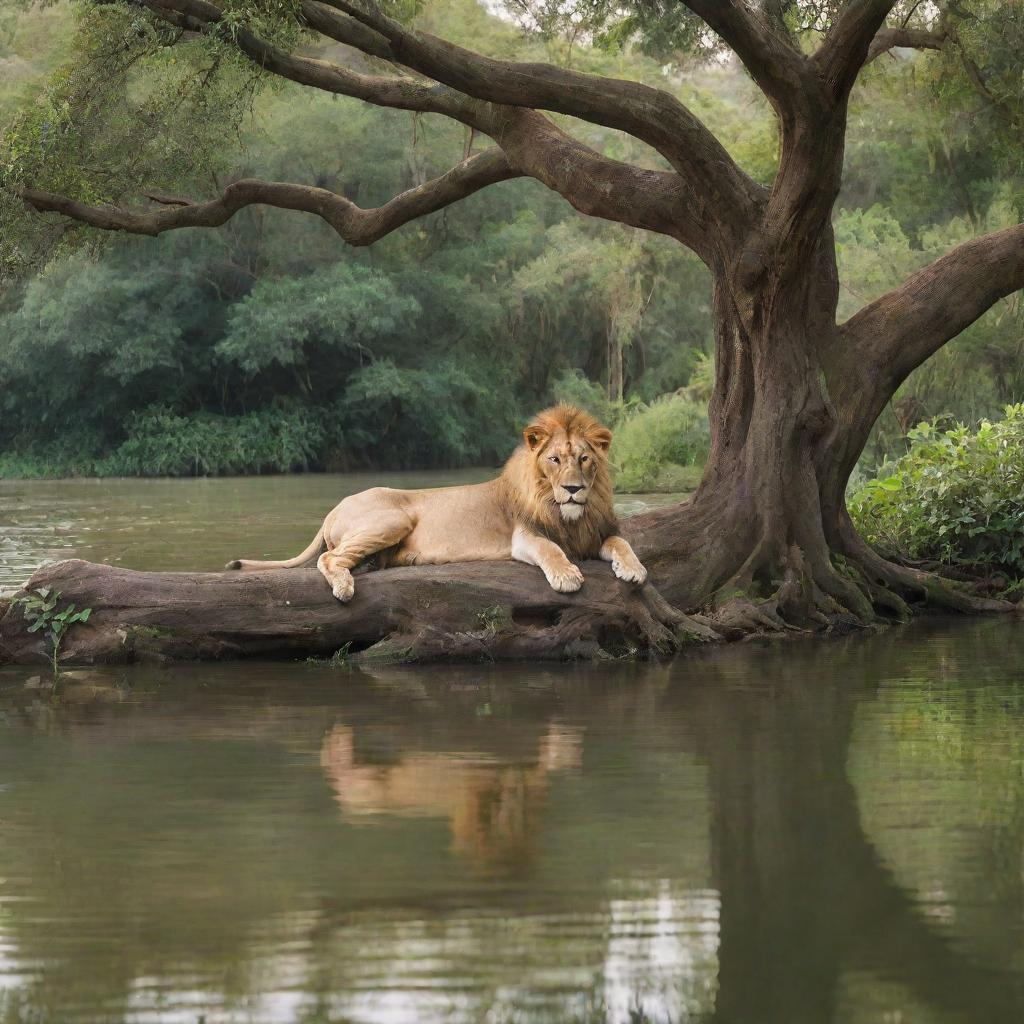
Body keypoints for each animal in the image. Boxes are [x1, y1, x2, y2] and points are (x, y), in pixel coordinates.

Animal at [228, 403, 647, 598]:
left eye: (584, 459)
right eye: (555, 460)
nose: (574, 489)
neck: (570, 514)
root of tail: (334, 507)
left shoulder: (598, 533)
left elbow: (622, 543)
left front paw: (635, 570)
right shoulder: (523, 537)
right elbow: (551, 549)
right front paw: (566, 576)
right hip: (392, 519)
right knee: (328, 558)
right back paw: (346, 585)